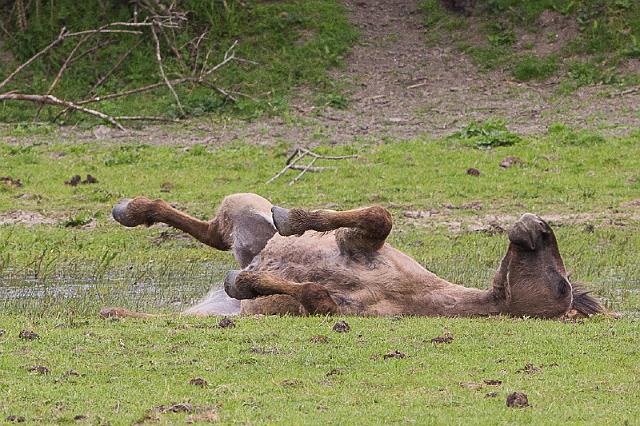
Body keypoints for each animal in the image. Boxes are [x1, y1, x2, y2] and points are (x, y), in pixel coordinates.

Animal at [101, 193, 604, 320]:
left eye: (563, 287)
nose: (536, 223)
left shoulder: (336, 308)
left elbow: (315, 294)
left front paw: (246, 282)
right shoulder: (361, 244)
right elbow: (379, 216)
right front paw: (293, 219)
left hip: (219, 305)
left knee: (211, 244)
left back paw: (117, 311)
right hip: (244, 212)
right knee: (211, 230)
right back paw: (131, 210)